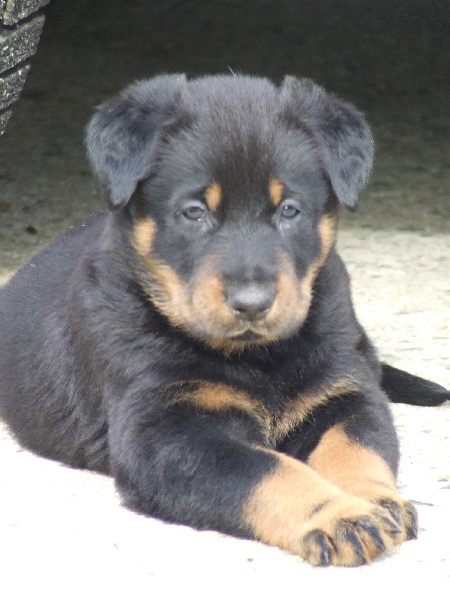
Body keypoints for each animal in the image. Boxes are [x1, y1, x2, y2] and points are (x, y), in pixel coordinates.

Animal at [0, 76, 448, 568]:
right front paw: (340, 515)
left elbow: (356, 448)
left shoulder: (343, 391)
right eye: (195, 212)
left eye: (289, 210)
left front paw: (376, 500)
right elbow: (268, 470)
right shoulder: (168, 434)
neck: (256, 356)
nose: (252, 304)